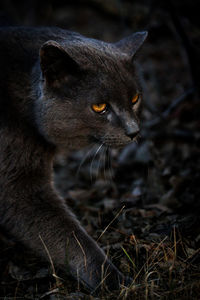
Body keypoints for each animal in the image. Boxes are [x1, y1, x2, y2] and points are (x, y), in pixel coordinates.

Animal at [0, 26, 147, 292]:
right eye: (99, 107)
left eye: (134, 99)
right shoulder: (16, 181)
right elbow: (69, 235)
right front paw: (114, 281)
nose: (134, 131)